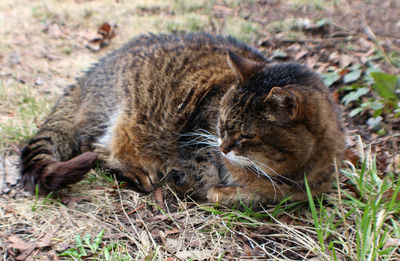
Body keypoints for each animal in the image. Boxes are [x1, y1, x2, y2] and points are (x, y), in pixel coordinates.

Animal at [18, 33, 346, 205]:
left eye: (246, 136)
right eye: (221, 124)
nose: (223, 147)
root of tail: (88, 75)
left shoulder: (302, 192)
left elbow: (262, 195)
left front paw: (236, 191)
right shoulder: (197, 129)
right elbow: (203, 174)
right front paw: (205, 186)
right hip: (124, 115)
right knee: (98, 149)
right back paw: (138, 171)